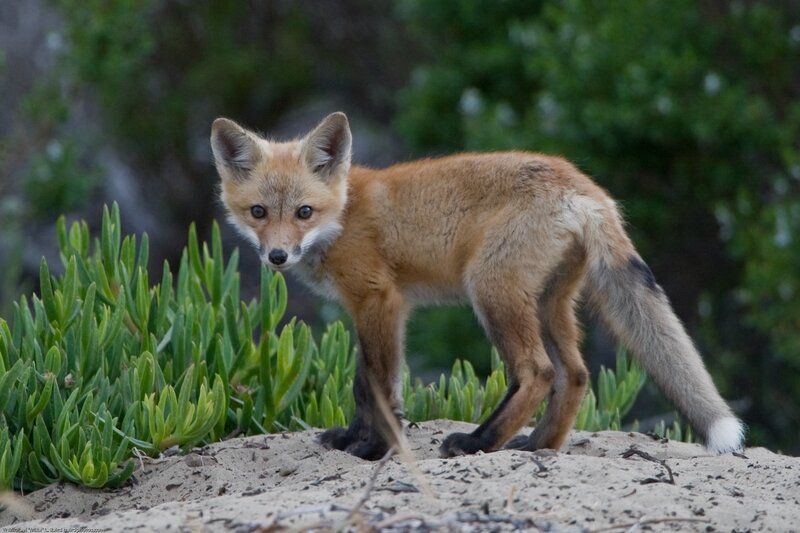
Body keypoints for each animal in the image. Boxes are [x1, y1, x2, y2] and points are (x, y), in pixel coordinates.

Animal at [210, 111, 744, 460]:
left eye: (304, 212)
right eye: (258, 212)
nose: (278, 256)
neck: (343, 214)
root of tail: (585, 187)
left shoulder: (379, 299)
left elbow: (379, 386)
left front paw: (375, 448)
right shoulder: (372, 308)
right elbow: (365, 384)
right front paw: (350, 439)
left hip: (490, 291)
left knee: (538, 372)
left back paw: (479, 442)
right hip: (549, 301)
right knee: (574, 374)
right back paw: (539, 445)